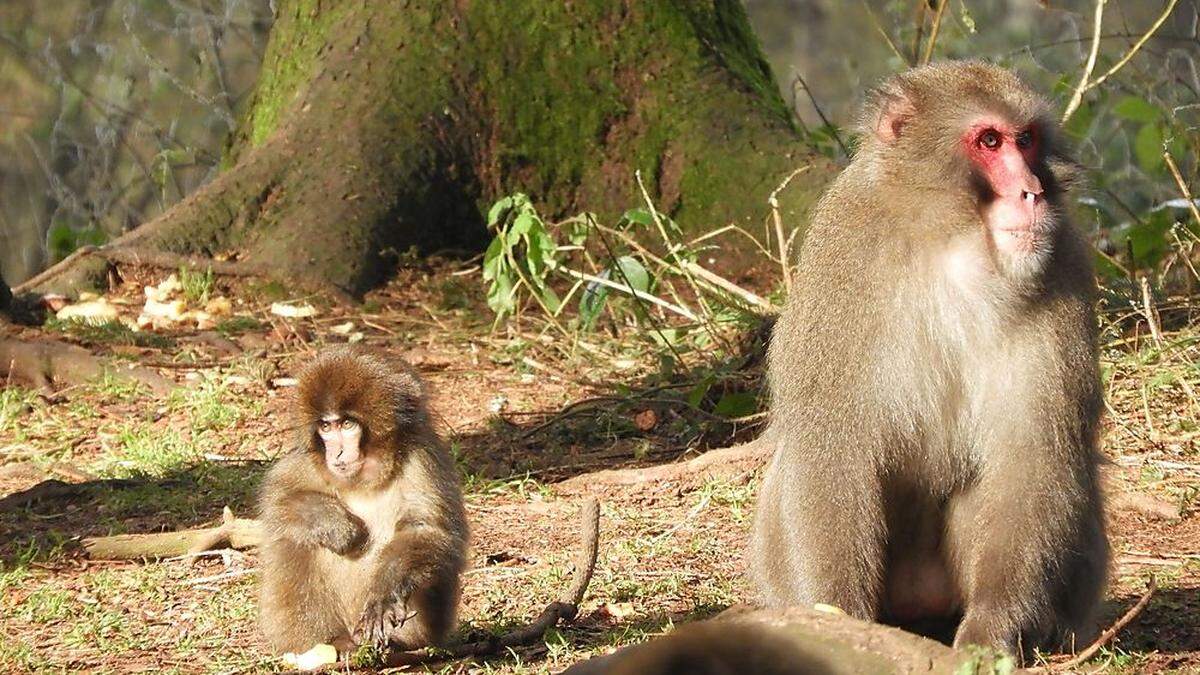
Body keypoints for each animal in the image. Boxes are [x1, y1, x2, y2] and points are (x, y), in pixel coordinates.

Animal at [260, 343, 465, 648]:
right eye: (326, 427)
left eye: (347, 424)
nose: (337, 453)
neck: (365, 480)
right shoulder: (311, 460)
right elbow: (276, 500)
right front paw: (333, 523)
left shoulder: (423, 460)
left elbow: (426, 531)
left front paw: (384, 596)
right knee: (293, 538)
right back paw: (331, 642)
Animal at [748, 61, 1104, 653]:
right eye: (989, 141)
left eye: (1027, 139)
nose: (1032, 191)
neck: (950, 247)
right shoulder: (845, 264)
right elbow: (829, 449)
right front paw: (839, 617)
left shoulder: (1064, 266)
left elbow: (1033, 456)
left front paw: (992, 627)